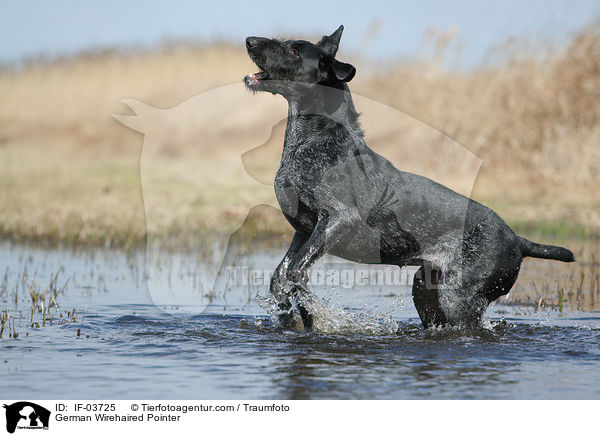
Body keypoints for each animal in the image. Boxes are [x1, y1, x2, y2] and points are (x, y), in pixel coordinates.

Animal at [243, 25, 572, 328]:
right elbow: (280, 276)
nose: (250, 40)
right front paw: (291, 314)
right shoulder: (304, 230)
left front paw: (312, 311)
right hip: (425, 289)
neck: (315, 142)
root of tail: (519, 240)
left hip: (456, 298)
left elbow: (296, 272)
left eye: (295, 51)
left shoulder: (338, 218)